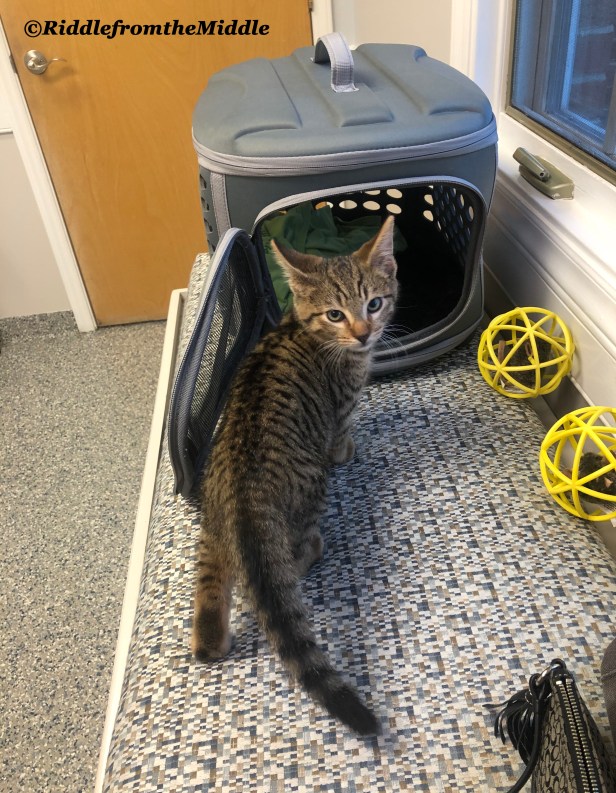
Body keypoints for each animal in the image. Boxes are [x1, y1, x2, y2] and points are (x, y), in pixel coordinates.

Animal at [191, 216, 398, 735]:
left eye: (374, 303)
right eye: (335, 314)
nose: (364, 334)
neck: (301, 328)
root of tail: (242, 495)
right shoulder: (342, 405)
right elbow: (342, 433)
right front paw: (347, 451)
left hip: (210, 528)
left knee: (213, 582)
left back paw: (209, 640)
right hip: (308, 494)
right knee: (288, 562)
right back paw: (312, 551)